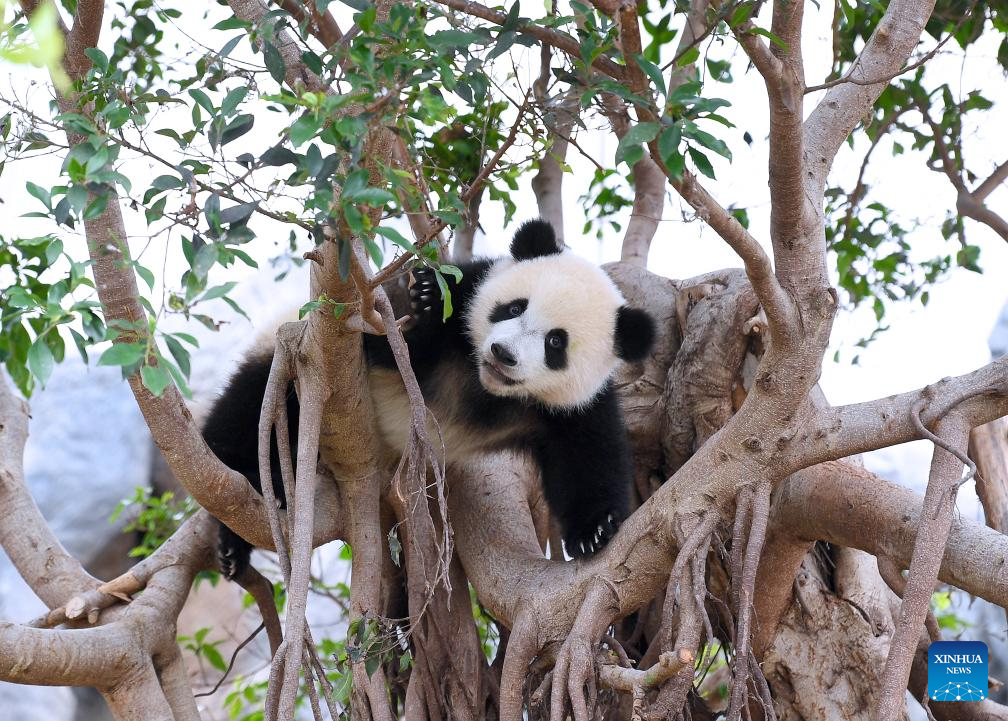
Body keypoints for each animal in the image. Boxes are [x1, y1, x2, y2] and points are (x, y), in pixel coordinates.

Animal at [203, 219, 656, 579]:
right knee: (247, 415)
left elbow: (587, 458)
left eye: (555, 343)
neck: (483, 383)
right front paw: (431, 301)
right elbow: (389, 329)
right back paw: (247, 500)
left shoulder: (574, 407)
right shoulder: (396, 307)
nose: (503, 354)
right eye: (513, 308)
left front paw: (595, 530)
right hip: (292, 362)